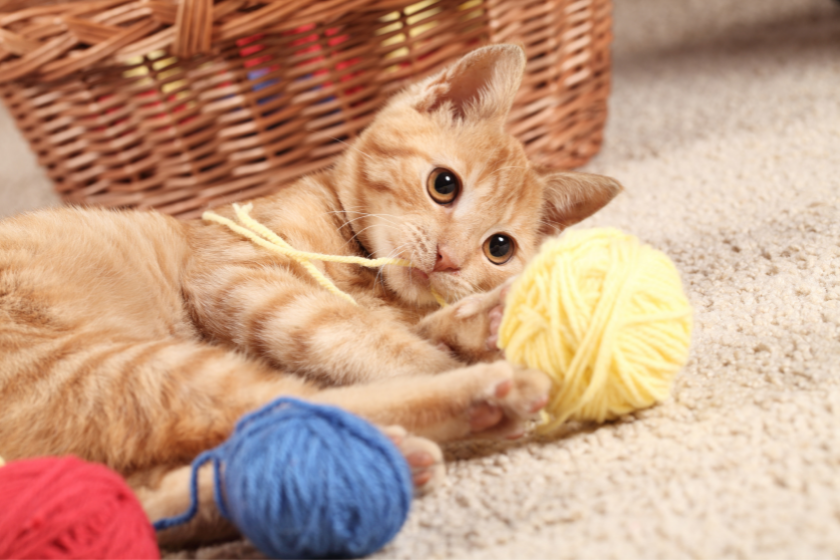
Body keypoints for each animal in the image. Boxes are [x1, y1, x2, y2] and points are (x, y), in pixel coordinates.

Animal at [0, 46, 616, 544]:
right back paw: (482, 398)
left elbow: (411, 327)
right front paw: (466, 352)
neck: (366, 274)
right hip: (126, 369)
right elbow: (374, 342)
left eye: (498, 248)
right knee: (294, 404)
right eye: (444, 185)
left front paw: (482, 320)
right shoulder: (241, 276)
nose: (448, 258)